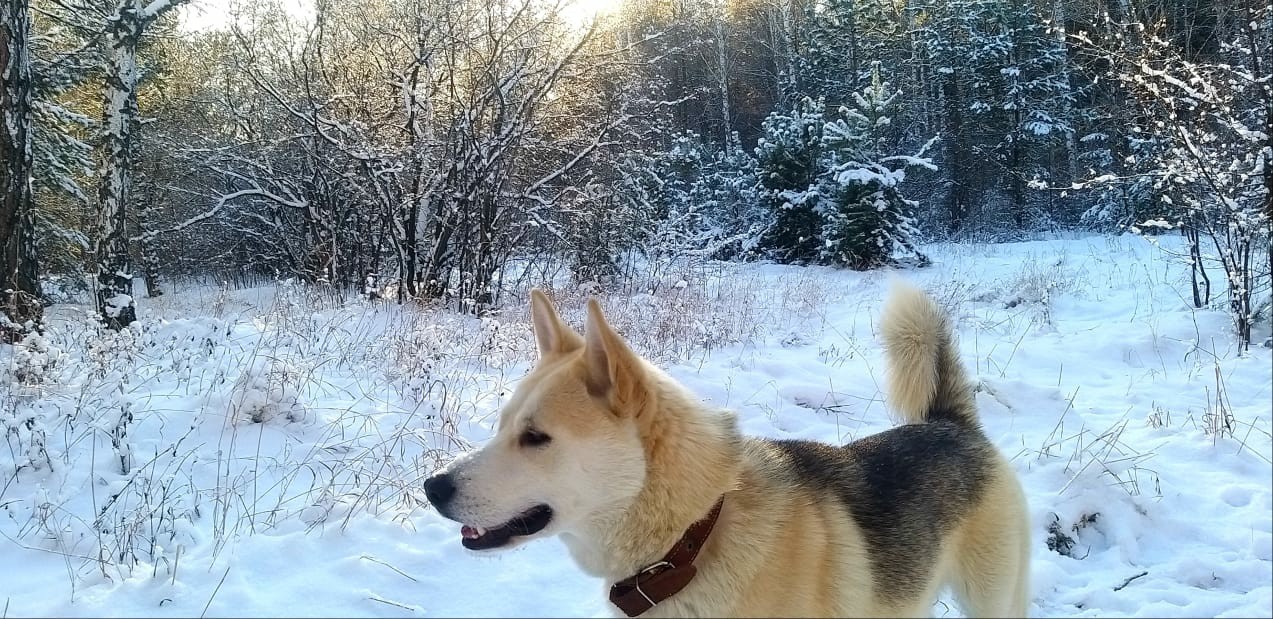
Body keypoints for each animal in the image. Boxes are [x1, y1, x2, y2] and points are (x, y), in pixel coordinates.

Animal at [422, 285, 1028, 619]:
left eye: (535, 437)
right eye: (502, 426)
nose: (431, 488)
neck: (692, 537)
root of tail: (949, 424)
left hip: (993, 600)